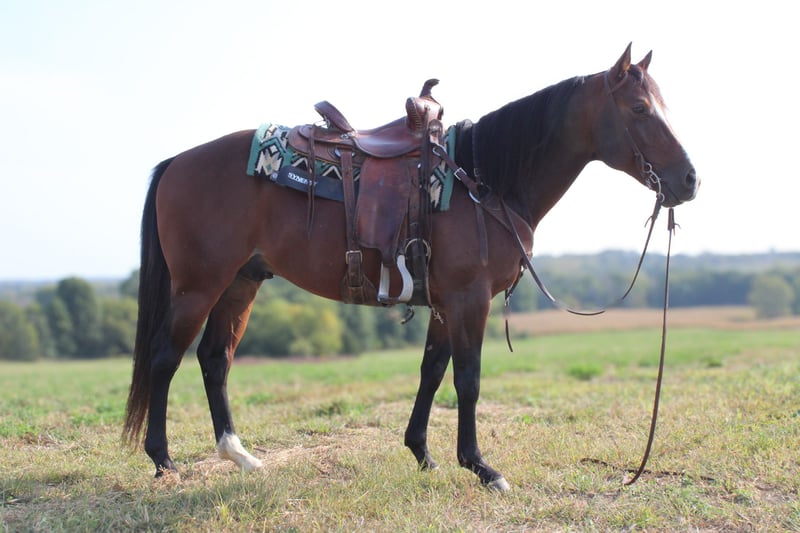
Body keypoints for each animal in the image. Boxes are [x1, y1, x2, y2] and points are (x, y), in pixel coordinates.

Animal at [124, 44, 698, 491]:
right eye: (640, 107)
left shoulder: (445, 302)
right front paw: (482, 467)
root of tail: (177, 162)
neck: (484, 179)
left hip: (240, 283)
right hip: (198, 286)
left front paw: (423, 453)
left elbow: (432, 371)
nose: (690, 180)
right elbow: (468, 378)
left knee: (214, 359)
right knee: (165, 358)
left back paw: (239, 455)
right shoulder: (469, 298)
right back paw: (164, 461)